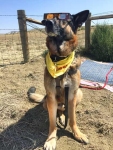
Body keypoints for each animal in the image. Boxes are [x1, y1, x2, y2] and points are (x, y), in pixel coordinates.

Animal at [27, 9, 89, 149]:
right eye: (49, 17)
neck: (59, 59)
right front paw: (51, 139)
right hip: (47, 102)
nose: (47, 22)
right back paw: (60, 117)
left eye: (64, 19)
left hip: (79, 94)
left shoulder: (71, 95)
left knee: (66, 111)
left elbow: (72, 119)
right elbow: (52, 123)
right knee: (59, 112)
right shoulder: (51, 98)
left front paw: (77, 134)